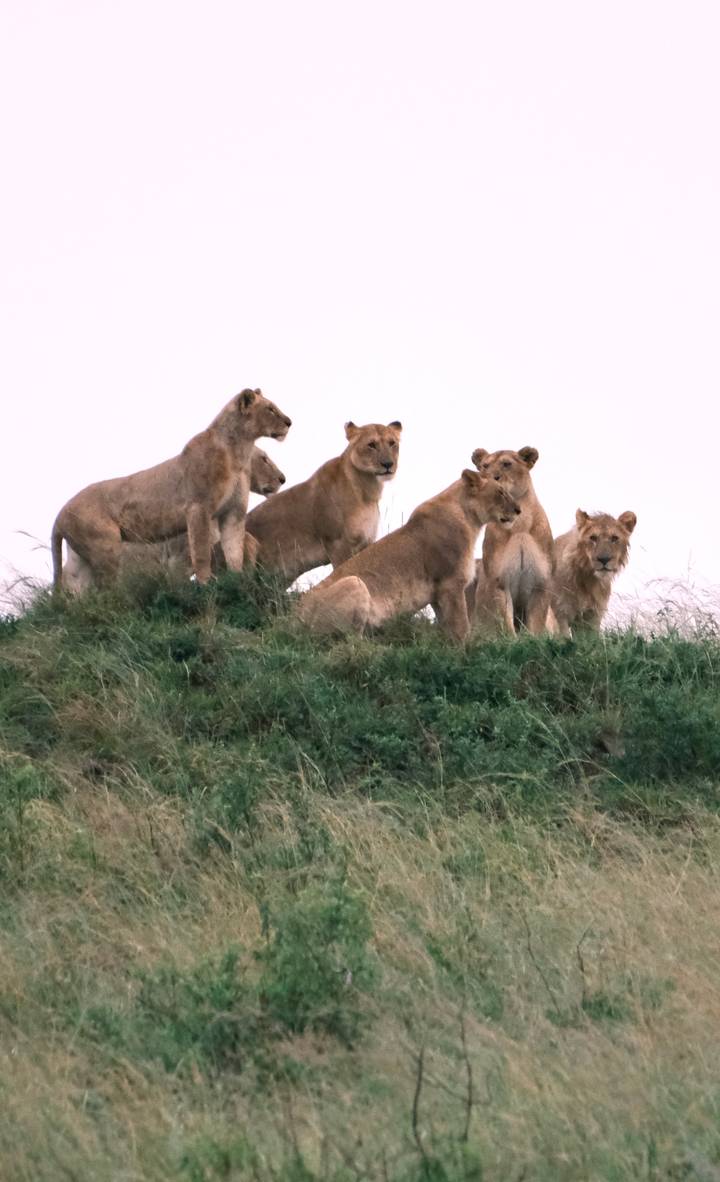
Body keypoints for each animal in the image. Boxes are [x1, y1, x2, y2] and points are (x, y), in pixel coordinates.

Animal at [242, 420, 402, 585]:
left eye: (392, 443)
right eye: (371, 445)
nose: (388, 464)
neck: (367, 490)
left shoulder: (366, 543)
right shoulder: (337, 544)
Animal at [298, 469, 520, 642]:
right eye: (501, 492)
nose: (518, 510)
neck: (470, 518)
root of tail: (293, 619)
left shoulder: (438, 592)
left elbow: (447, 628)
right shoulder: (451, 583)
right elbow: (461, 628)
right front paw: (468, 650)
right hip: (354, 582)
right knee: (349, 642)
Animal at [470, 446, 554, 635]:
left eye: (507, 464)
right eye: (485, 466)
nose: (490, 478)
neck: (519, 525)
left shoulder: (541, 582)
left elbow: (537, 622)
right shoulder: (499, 581)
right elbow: (505, 622)